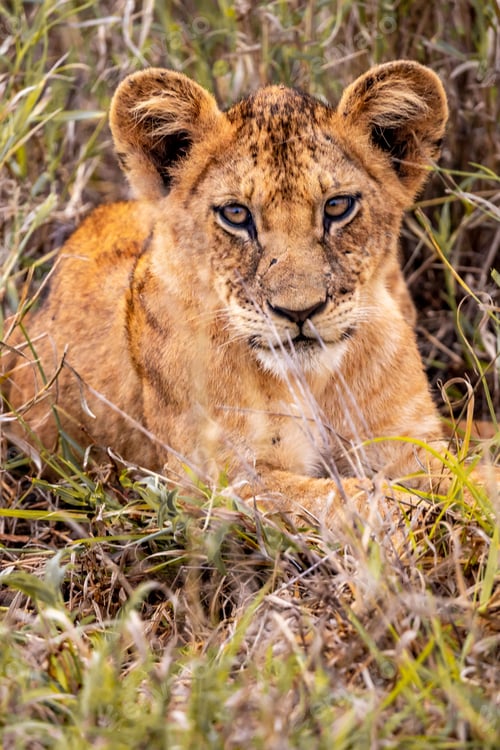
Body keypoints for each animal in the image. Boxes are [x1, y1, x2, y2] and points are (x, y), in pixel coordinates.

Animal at [3, 60, 457, 528]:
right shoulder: (213, 484)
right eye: (236, 214)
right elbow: (350, 499)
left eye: (337, 206)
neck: (312, 383)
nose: (300, 311)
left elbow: (465, 480)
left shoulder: (409, 442)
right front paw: (425, 518)